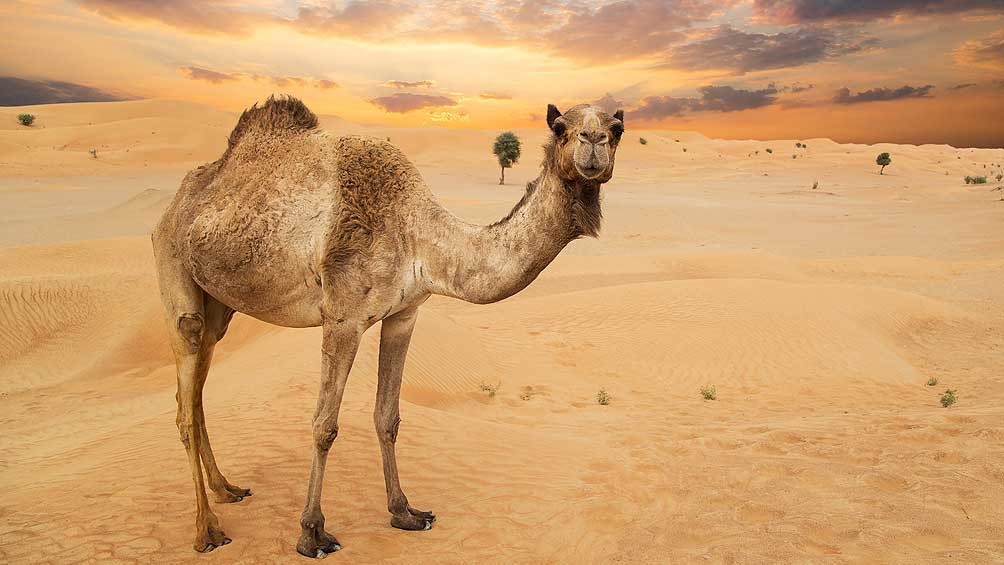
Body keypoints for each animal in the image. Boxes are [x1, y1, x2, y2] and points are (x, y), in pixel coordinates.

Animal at [151, 95, 624, 557]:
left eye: (616, 129)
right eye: (560, 129)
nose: (593, 142)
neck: (419, 239)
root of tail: (172, 207)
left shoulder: (404, 314)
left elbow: (387, 415)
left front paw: (405, 512)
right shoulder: (343, 317)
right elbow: (324, 425)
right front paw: (311, 533)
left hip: (220, 305)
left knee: (194, 395)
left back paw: (226, 489)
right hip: (174, 273)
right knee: (185, 399)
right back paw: (208, 530)